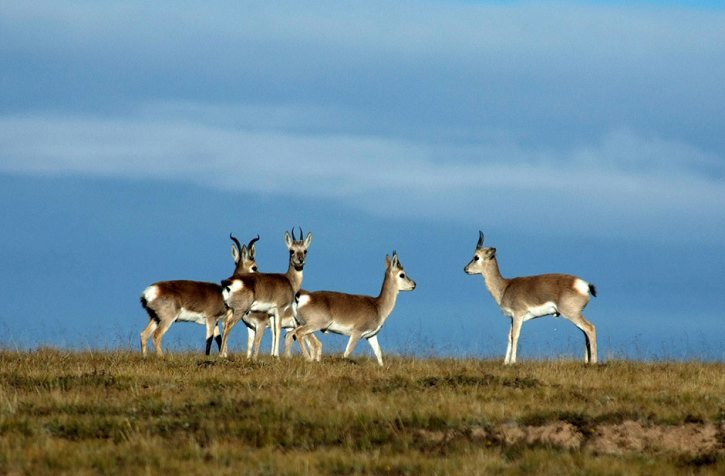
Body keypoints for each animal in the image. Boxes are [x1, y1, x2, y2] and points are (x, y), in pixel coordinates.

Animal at [221, 227, 312, 356]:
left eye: (305, 250)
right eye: (291, 250)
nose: (300, 260)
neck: (288, 280)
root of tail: (230, 281)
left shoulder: (271, 314)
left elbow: (273, 332)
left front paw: (272, 355)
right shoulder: (279, 310)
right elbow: (278, 331)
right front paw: (276, 355)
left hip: (230, 309)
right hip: (239, 311)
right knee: (228, 326)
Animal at [286, 251, 416, 366]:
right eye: (402, 274)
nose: (414, 284)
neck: (377, 305)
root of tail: (304, 296)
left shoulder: (371, 336)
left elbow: (378, 353)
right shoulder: (356, 333)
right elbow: (347, 353)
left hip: (301, 324)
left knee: (290, 335)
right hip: (314, 325)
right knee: (299, 334)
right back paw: (308, 358)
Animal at [466, 231, 596, 364]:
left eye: (476, 257)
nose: (465, 269)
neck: (505, 287)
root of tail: (585, 285)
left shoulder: (518, 315)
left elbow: (515, 335)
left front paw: (512, 362)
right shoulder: (512, 317)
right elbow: (509, 337)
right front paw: (505, 362)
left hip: (571, 314)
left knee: (590, 328)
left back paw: (593, 362)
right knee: (585, 333)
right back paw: (586, 361)